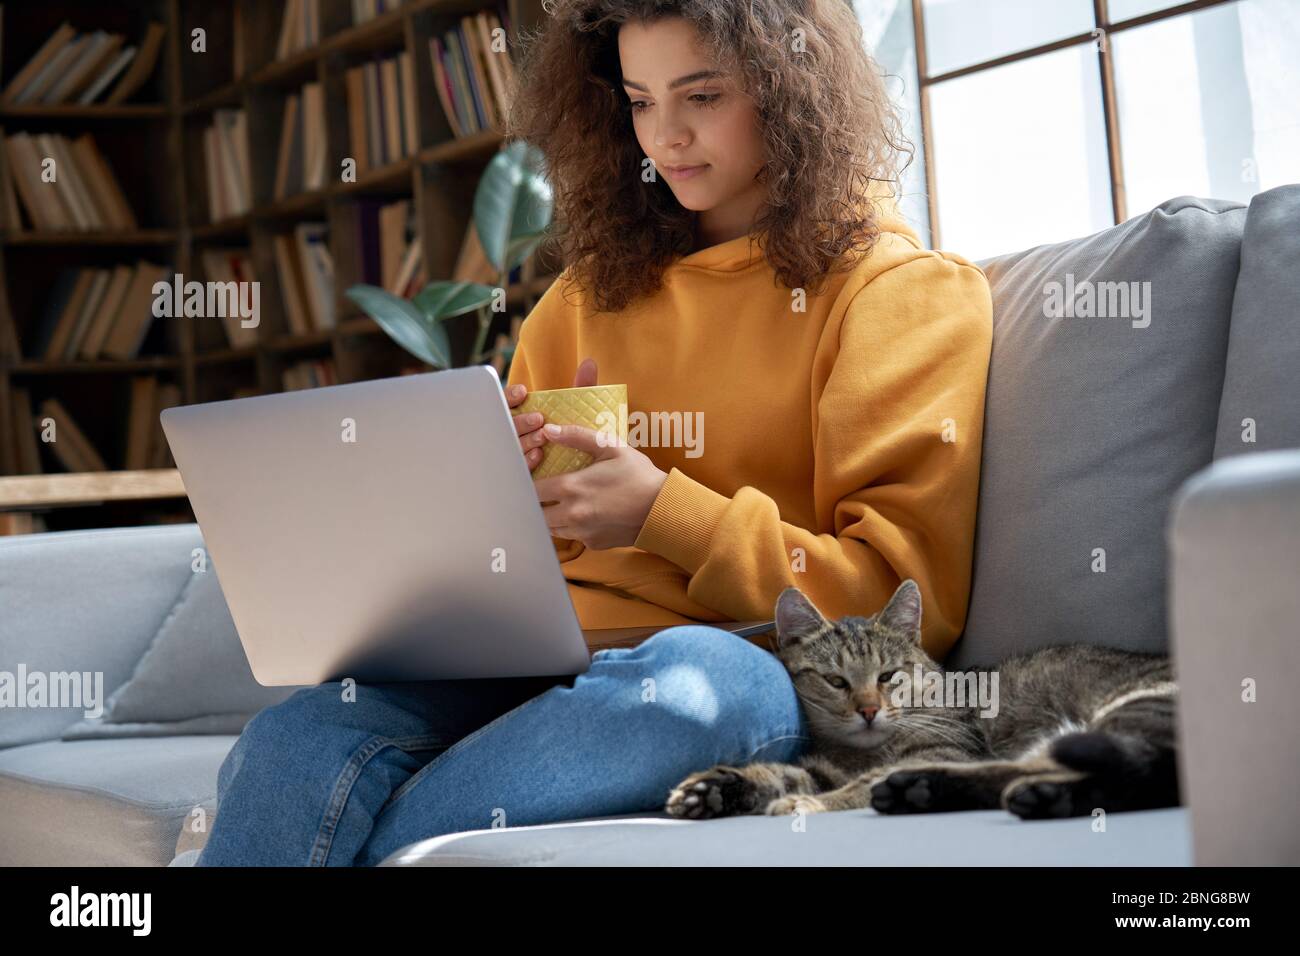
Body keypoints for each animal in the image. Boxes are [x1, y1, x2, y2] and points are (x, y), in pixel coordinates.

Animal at [665, 580, 1185, 816]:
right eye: (836, 681)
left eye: (888, 676)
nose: (869, 710)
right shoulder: (824, 766)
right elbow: (784, 773)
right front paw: (718, 788)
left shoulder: (949, 748)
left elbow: (855, 786)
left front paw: (808, 804)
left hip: (1130, 711)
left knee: (1139, 773)